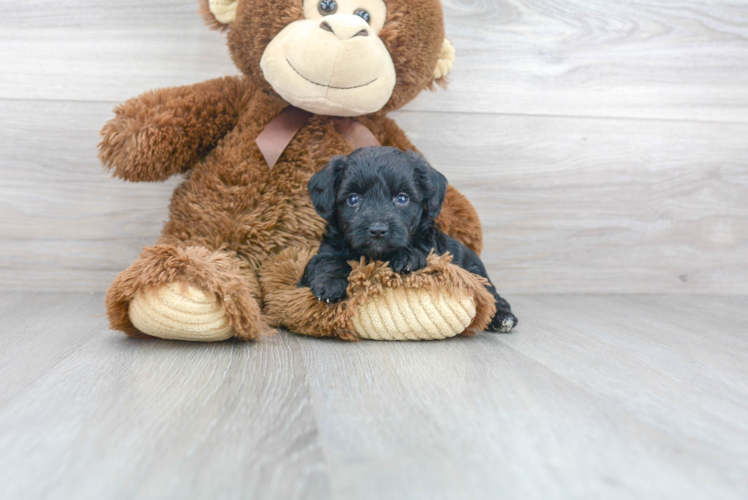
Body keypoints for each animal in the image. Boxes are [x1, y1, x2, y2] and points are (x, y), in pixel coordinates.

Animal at [296, 146, 516, 332]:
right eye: (353, 199)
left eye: (402, 198)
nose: (378, 230)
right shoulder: (326, 250)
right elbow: (327, 261)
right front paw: (329, 284)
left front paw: (407, 257)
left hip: (477, 272)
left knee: (492, 297)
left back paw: (503, 318)